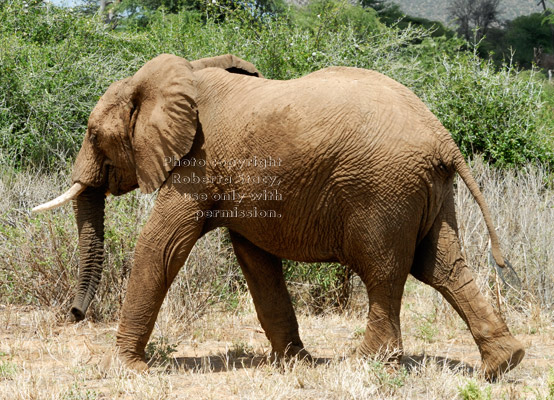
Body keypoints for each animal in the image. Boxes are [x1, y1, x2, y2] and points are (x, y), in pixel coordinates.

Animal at [33, 54, 520, 382]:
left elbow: (162, 245)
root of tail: (442, 136)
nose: (74, 313)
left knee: (383, 269)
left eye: (94, 135)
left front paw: (123, 367)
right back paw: (502, 364)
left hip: (382, 188)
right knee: (441, 266)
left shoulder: (197, 164)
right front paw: (294, 363)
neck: (173, 75)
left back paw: (370, 364)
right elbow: (256, 260)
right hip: (427, 189)